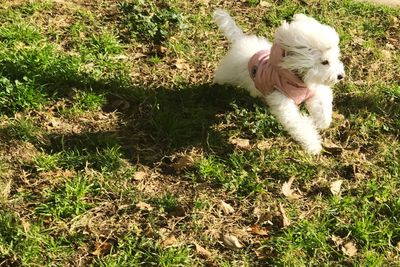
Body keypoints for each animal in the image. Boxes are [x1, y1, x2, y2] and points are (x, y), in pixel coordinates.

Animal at [214, 9, 346, 155]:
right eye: (325, 62)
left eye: (336, 58)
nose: (341, 76)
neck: (298, 80)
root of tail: (241, 40)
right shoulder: (284, 103)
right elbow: (300, 125)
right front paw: (313, 145)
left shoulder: (315, 90)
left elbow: (322, 105)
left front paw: (322, 122)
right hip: (229, 73)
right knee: (221, 76)